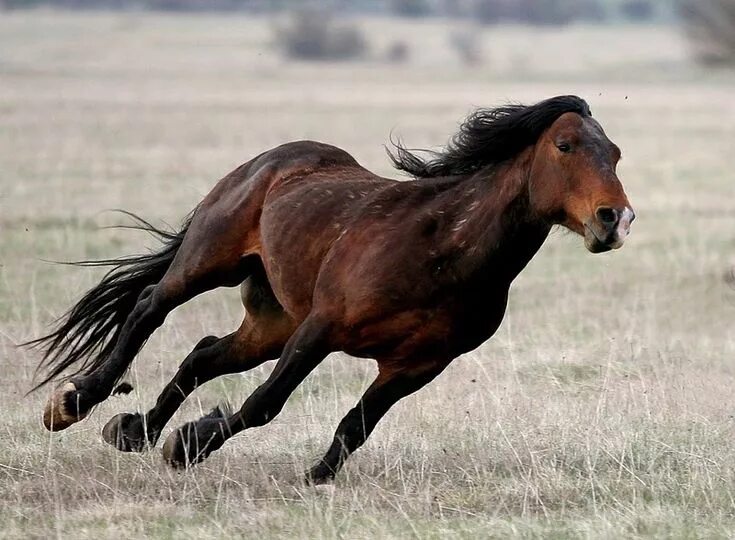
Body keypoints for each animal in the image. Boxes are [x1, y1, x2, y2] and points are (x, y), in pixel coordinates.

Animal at [31, 95, 636, 484]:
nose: (615, 219)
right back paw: (74, 403)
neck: (443, 250)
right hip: (208, 264)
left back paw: (133, 432)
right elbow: (264, 403)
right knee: (148, 309)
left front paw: (313, 476)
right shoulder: (321, 329)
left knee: (202, 354)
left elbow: (355, 426)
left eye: (615, 154)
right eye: (565, 145)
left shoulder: (414, 366)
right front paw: (189, 446)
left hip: (270, 324)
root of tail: (273, 159)